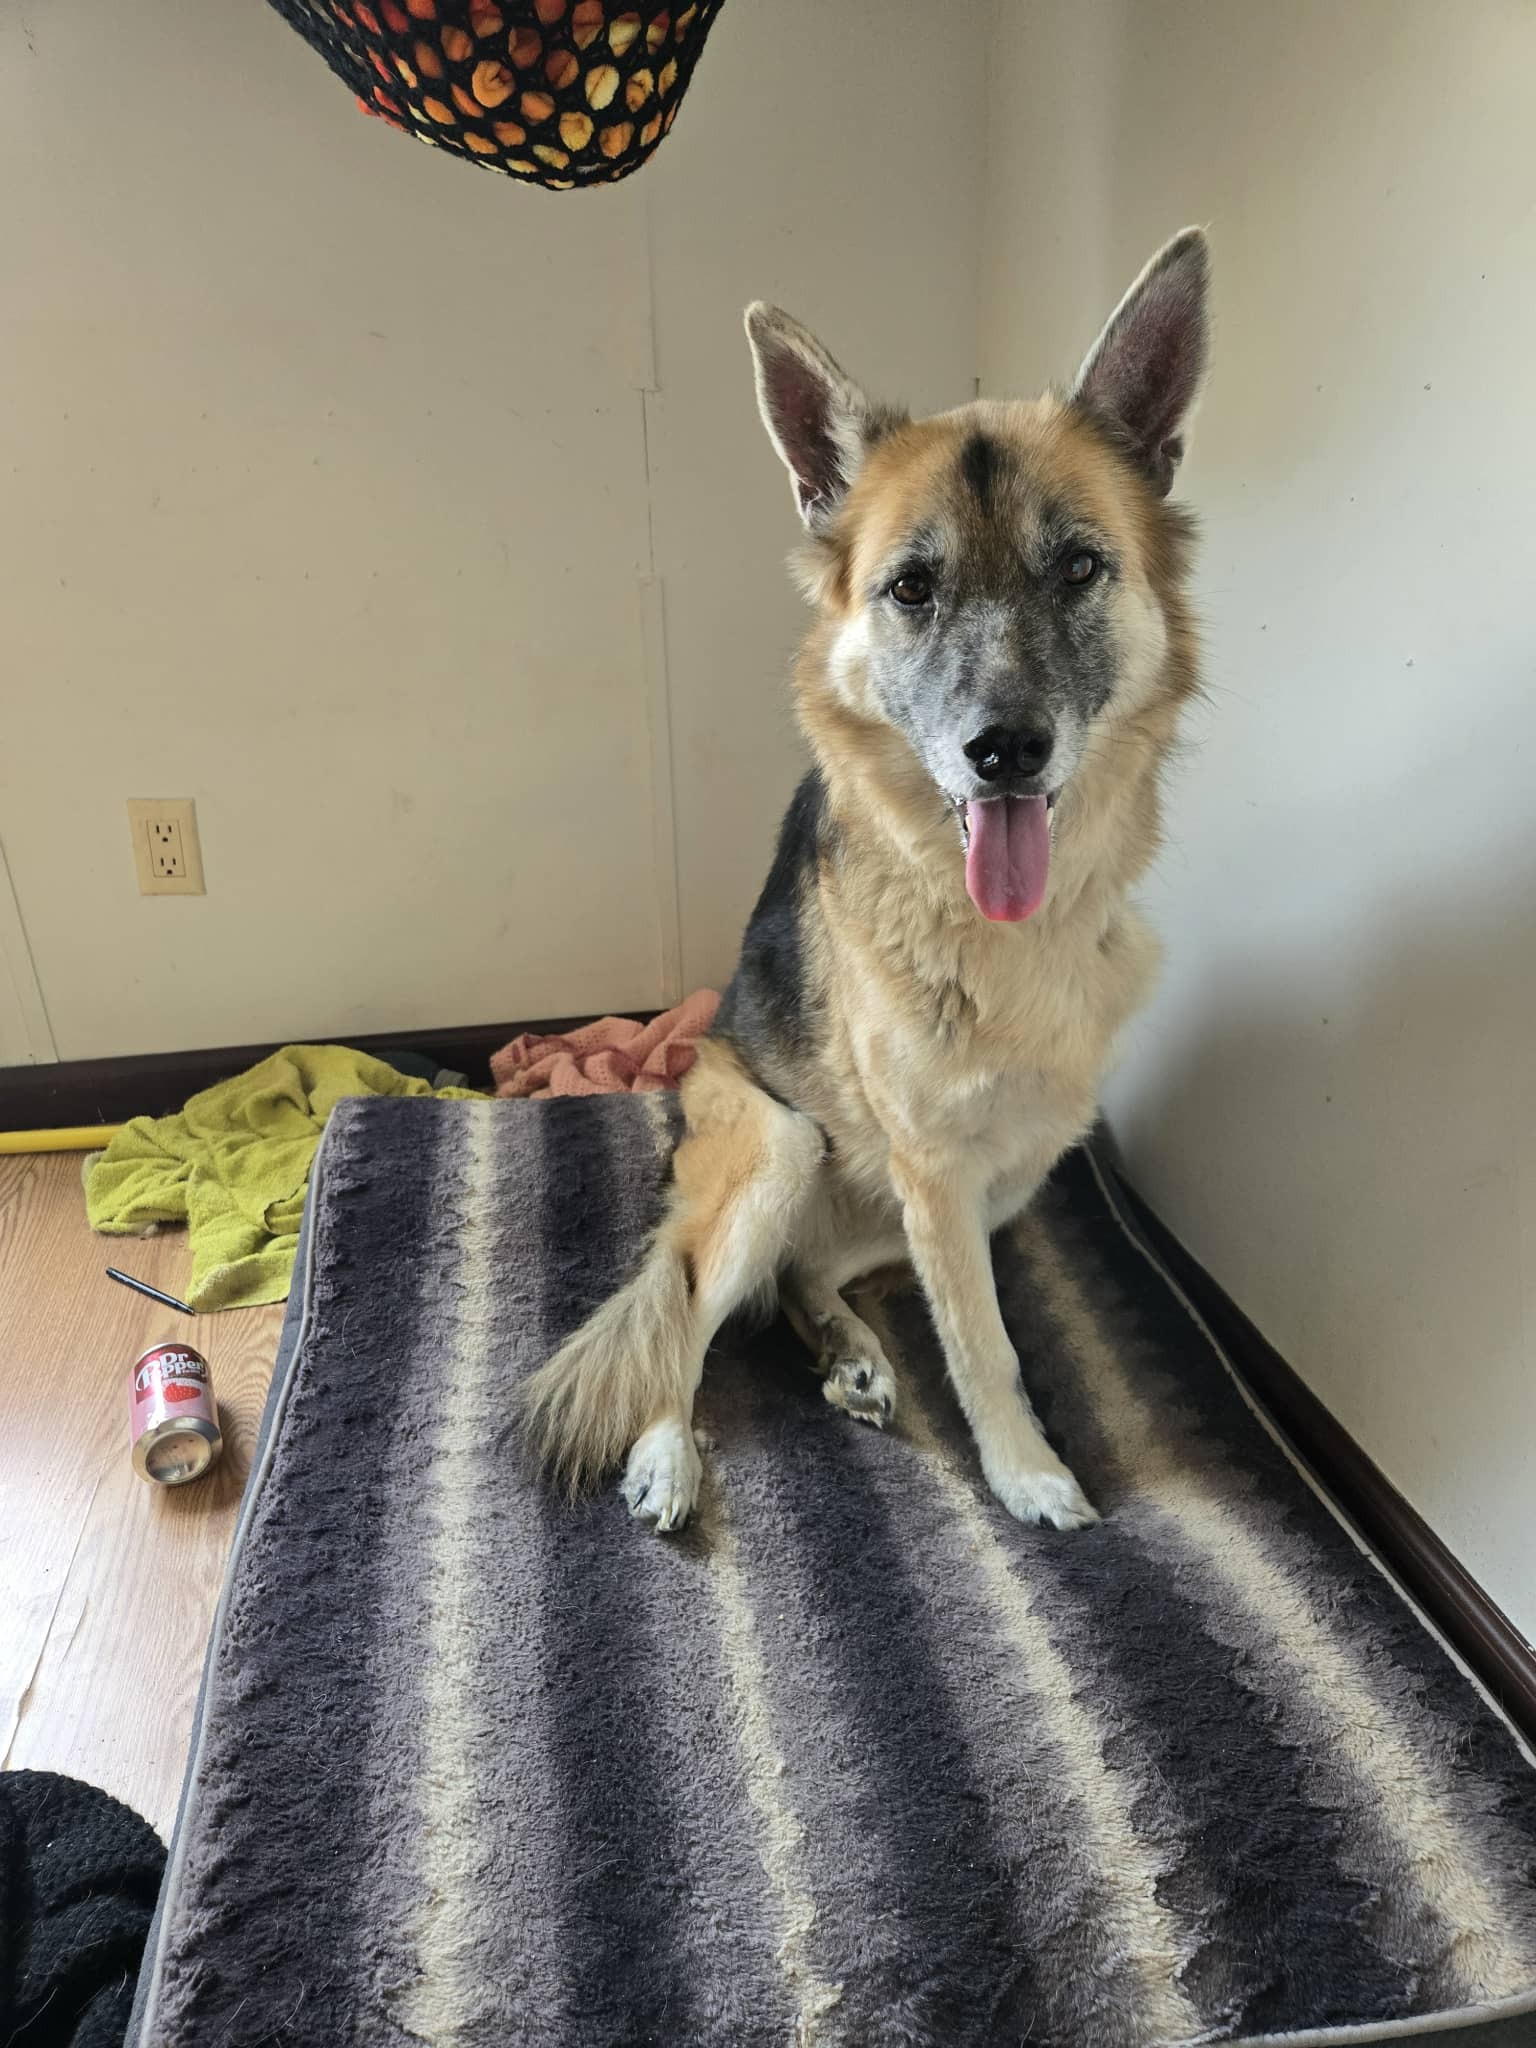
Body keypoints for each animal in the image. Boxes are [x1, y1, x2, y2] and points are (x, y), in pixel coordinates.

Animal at [520, 228, 1210, 1534]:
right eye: (911, 588)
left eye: (1079, 567)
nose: (1005, 750)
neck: (1004, 932)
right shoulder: (937, 1170)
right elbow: (987, 1345)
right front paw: (1027, 1470)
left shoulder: (963, 1184)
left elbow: (973, 1318)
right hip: (785, 1148)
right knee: (685, 1317)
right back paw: (668, 1451)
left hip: (1010, 1173)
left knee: (801, 1272)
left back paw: (843, 1346)